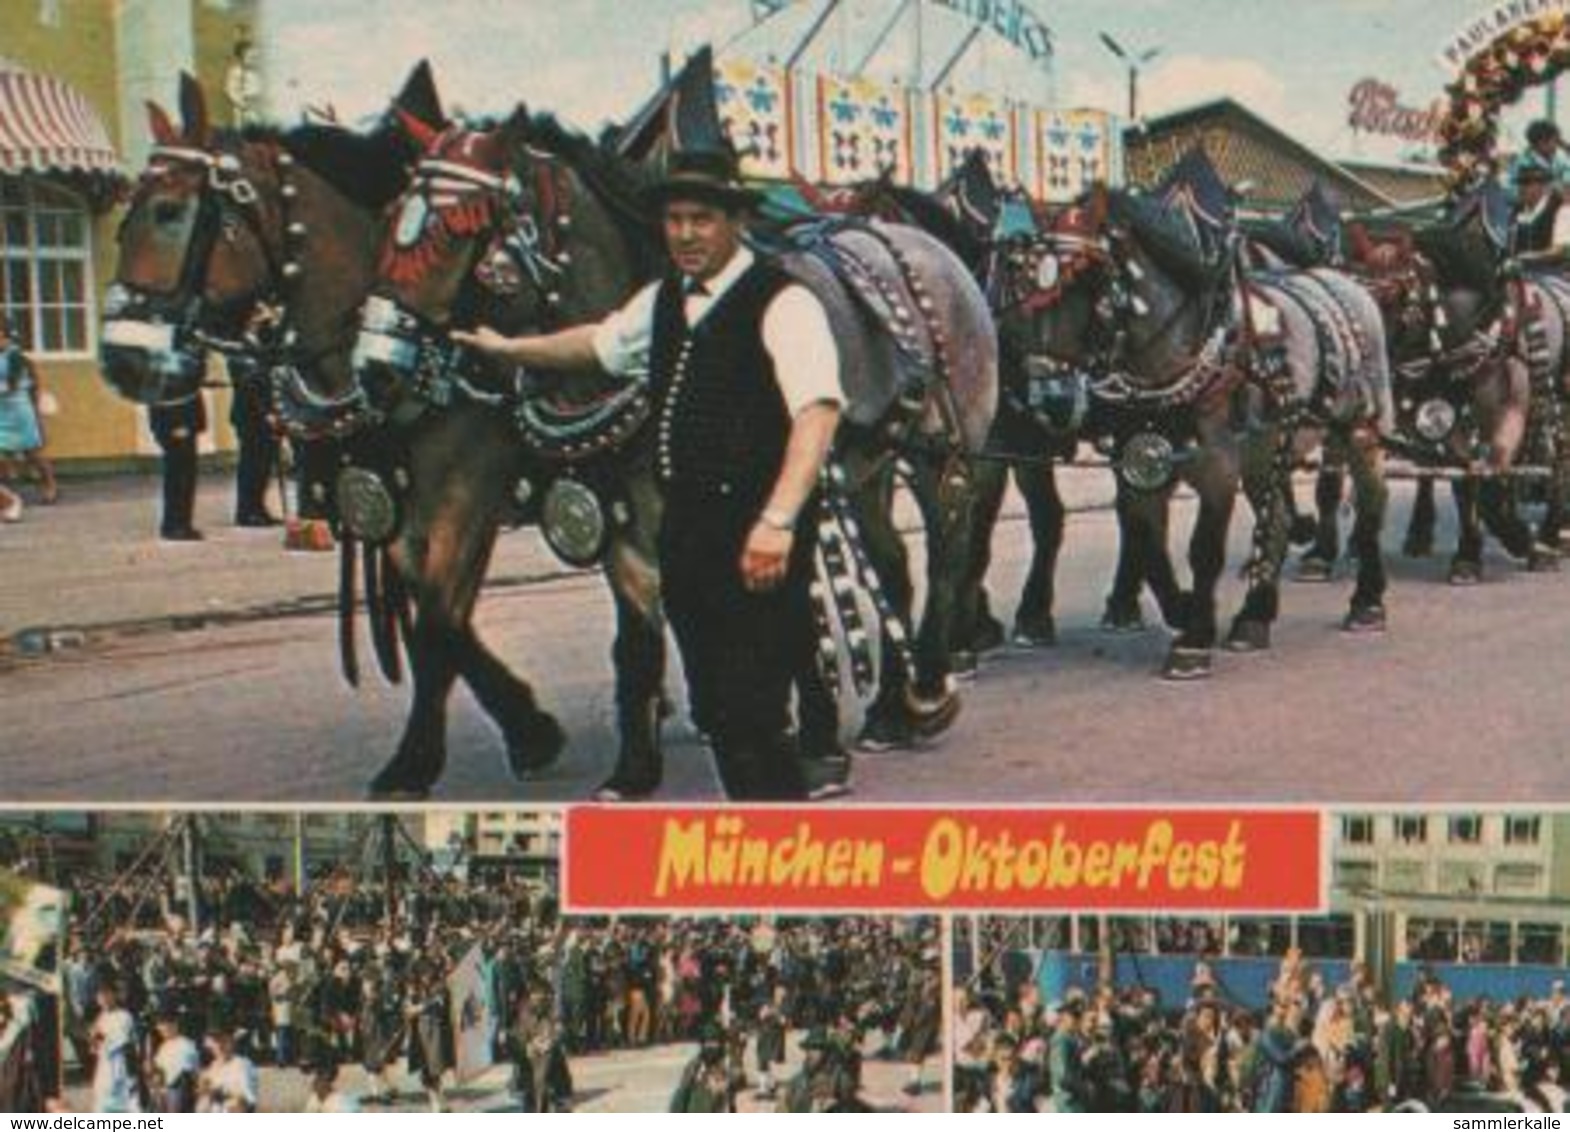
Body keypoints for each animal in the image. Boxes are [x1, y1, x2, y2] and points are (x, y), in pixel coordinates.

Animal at [98, 70, 568, 800]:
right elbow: (440, 618)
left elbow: (439, 622)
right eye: (125, 221)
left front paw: (416, 761)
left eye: (171, 212)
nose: (122, 359)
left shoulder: (469, 493)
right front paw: (528, 727)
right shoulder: (399, 505)